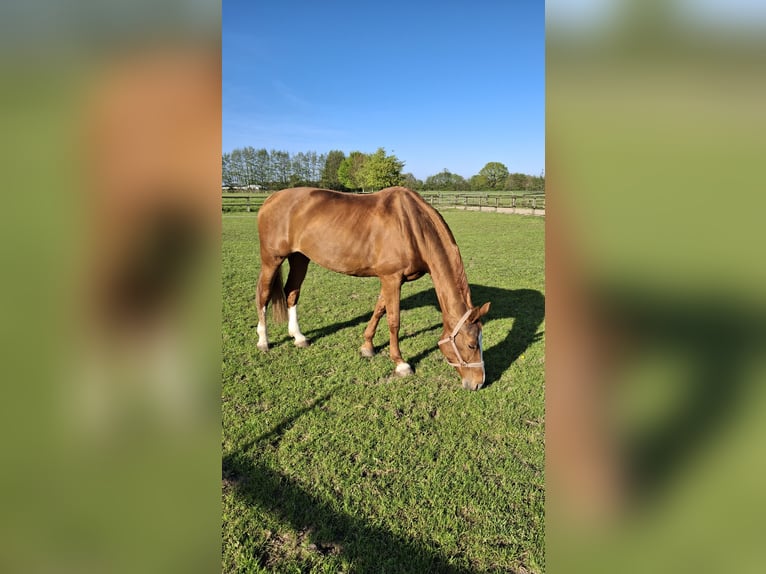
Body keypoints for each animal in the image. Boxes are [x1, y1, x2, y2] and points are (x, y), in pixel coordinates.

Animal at [255, 186, 491, 390]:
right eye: (471, 344)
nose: (478, 383)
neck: (412, 226)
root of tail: (271, 198)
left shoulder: (392, 279)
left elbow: (379, 309)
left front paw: (367, 347)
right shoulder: (391, 278)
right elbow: (394, 321)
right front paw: (400, 363)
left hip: (299, 258)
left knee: (291, 293)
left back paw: (298, 337)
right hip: (272, 259)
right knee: (263, 295)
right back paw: (263, 341)